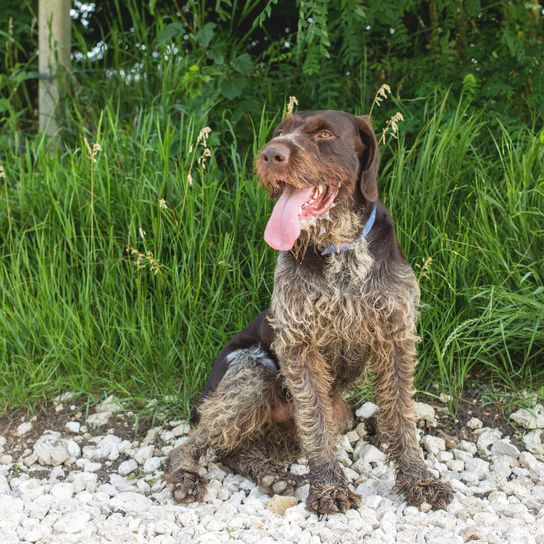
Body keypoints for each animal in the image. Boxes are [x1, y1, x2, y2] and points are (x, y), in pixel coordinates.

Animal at [167, 109, 454, 516]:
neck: (341, 250)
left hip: (329, 414)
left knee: (236, 450)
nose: (270, 154)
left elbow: (401, 416)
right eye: (280, 131)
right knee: (194, 444)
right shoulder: (300, 346)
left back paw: (271, 475)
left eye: (324, 134)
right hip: (251, 373)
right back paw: (187, 476)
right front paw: (330, 488)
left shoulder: (395, 339)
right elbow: (314, 421)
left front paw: (420, 480)